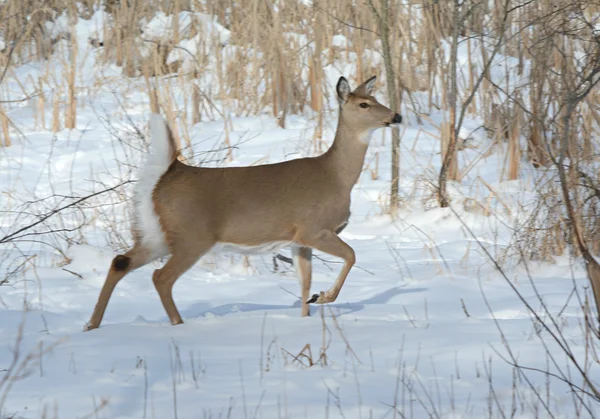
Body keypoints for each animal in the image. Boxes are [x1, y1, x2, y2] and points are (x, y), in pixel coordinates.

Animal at [84, 75, 400, 332]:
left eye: (376, 99)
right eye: (363, 104)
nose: (396, 116)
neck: (336, 176)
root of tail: (168, 172)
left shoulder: (298, 240)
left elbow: (304, 282)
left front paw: (308, 311)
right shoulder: (314, 228)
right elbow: (351, 255)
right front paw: (324, 297)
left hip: (156, 233)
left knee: (121, 261)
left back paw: (91, 325)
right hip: (193, 235)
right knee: (161, 277)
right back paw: (178, 324)